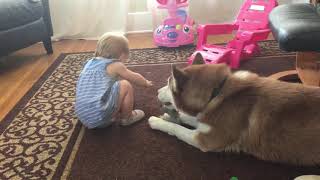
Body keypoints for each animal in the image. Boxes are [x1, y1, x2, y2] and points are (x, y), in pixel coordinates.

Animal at [149, 52, 320, 165]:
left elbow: (177, 129)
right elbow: (190, 118)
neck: (216, 93)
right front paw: (170, 117)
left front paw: (157, 122)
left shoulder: (207, 140)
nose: (156, 91)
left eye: (168, 84)